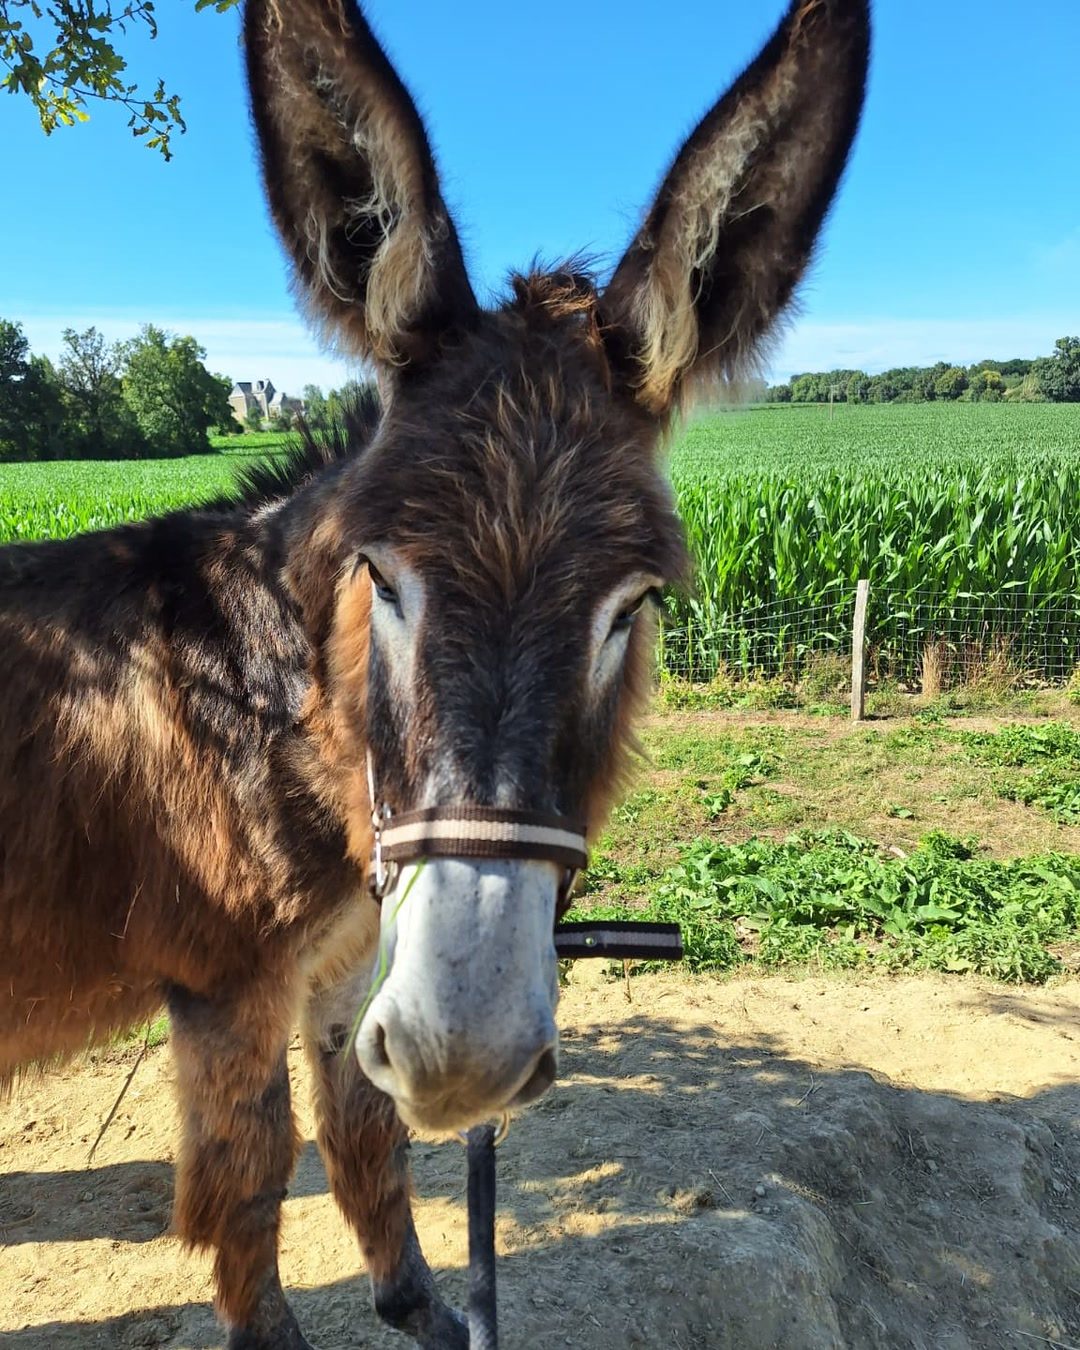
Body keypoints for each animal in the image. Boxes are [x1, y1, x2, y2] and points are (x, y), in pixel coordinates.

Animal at [0, 1, 869, 1345]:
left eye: (637, 606)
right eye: (381, 575)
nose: (466, 1061)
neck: (273, 711)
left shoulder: (347, 958)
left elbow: (366, 1136)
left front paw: (421, 1304)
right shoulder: (223, 989)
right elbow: (251, 1184)